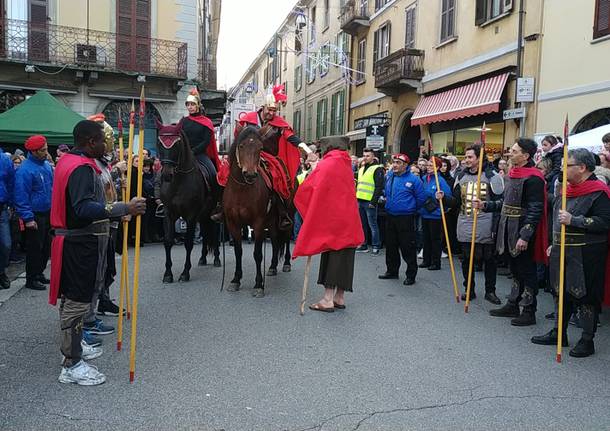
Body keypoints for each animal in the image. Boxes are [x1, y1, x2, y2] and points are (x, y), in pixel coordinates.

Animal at [154, 120, 218, 284]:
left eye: (176, 144)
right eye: (159, 143)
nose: (167, 174)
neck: (179, 182)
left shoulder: (190, 216)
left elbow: (188, 243)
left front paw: (185, 273)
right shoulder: (169, 214)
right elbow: (168, 241)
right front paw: (168, 274)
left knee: (214, 232)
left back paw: (216, 259)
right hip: (203, 215)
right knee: (206, 232)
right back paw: (203, 258)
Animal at [223, 126, 292, 298]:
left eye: (260, 148)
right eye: (241, 146)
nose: (250, 174)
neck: (242, 189)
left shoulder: (258, 223)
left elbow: (257, 254)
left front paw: (258, 285)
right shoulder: (233, 223)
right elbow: (238, 251)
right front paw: (235, 280)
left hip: (288, 214)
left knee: (287, 238)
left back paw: (286, 263)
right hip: (272, 221)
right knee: (275, 240)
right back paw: (272, 267)